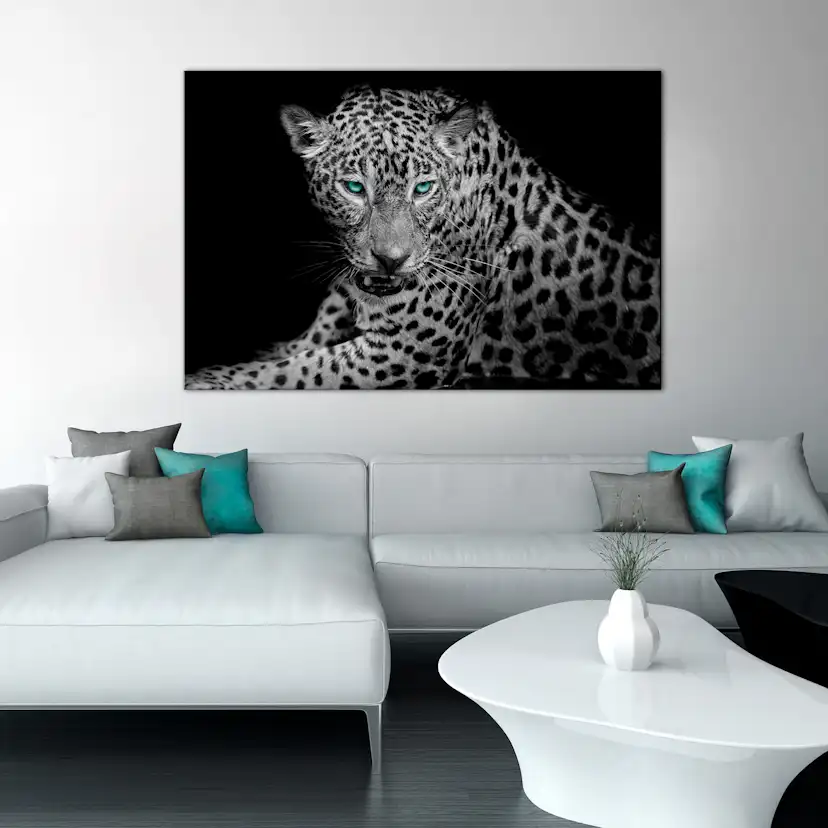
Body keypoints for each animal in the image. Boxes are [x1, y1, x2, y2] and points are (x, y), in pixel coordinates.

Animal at [185, 85, 660, 390]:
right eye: (354, 188)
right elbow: (284, 353)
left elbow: (289, 372)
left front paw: (210, 380)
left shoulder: (412, 349)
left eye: (423, 188)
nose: (391, 260)